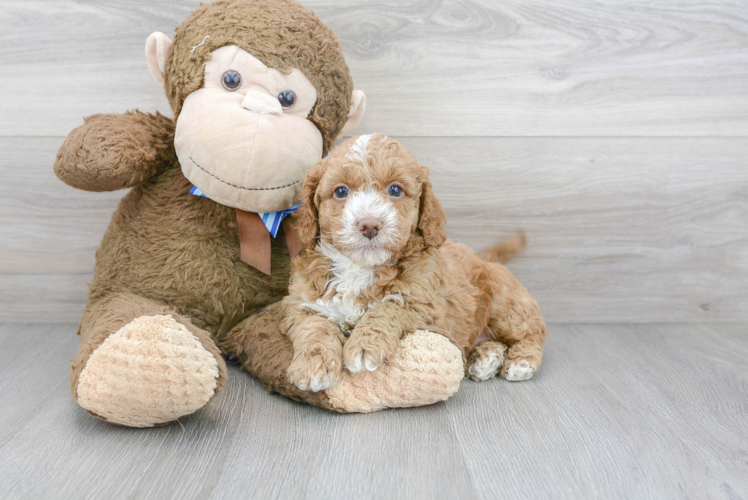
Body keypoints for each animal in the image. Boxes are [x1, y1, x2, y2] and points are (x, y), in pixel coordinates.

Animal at [284, 133, 548, 390]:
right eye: (341, 192)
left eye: (395, 190)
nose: (369, 225)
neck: (361, 268)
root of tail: (482, 257)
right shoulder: (302, 302)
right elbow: (313, 327)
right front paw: (313, 366)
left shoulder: (426, 304)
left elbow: (388, 308)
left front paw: (364, 345)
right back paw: (486, 359)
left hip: (504, 303)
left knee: (533, 330)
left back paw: (522, 361)